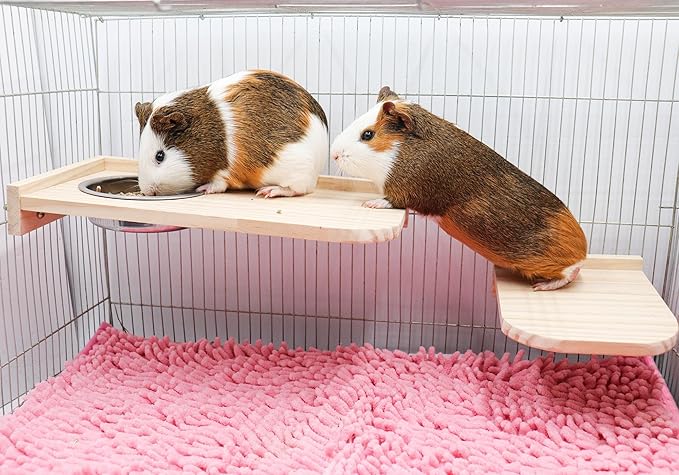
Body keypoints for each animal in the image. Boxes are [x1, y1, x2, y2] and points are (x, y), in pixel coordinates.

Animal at [134, 70, 328, 198]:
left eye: (160, 156)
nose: (147, 191)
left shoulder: (224, 171)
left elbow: (218, 183)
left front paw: (203, 189)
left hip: (298, 172)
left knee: (298, 190)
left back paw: (268, 191)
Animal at [330, 86, 587, 291]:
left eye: (367, 134)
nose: (334, 154)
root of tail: (583, 249)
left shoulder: (409, 193)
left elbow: (393, 200)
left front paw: (370, 203)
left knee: (571, 272)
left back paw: (542, 287)